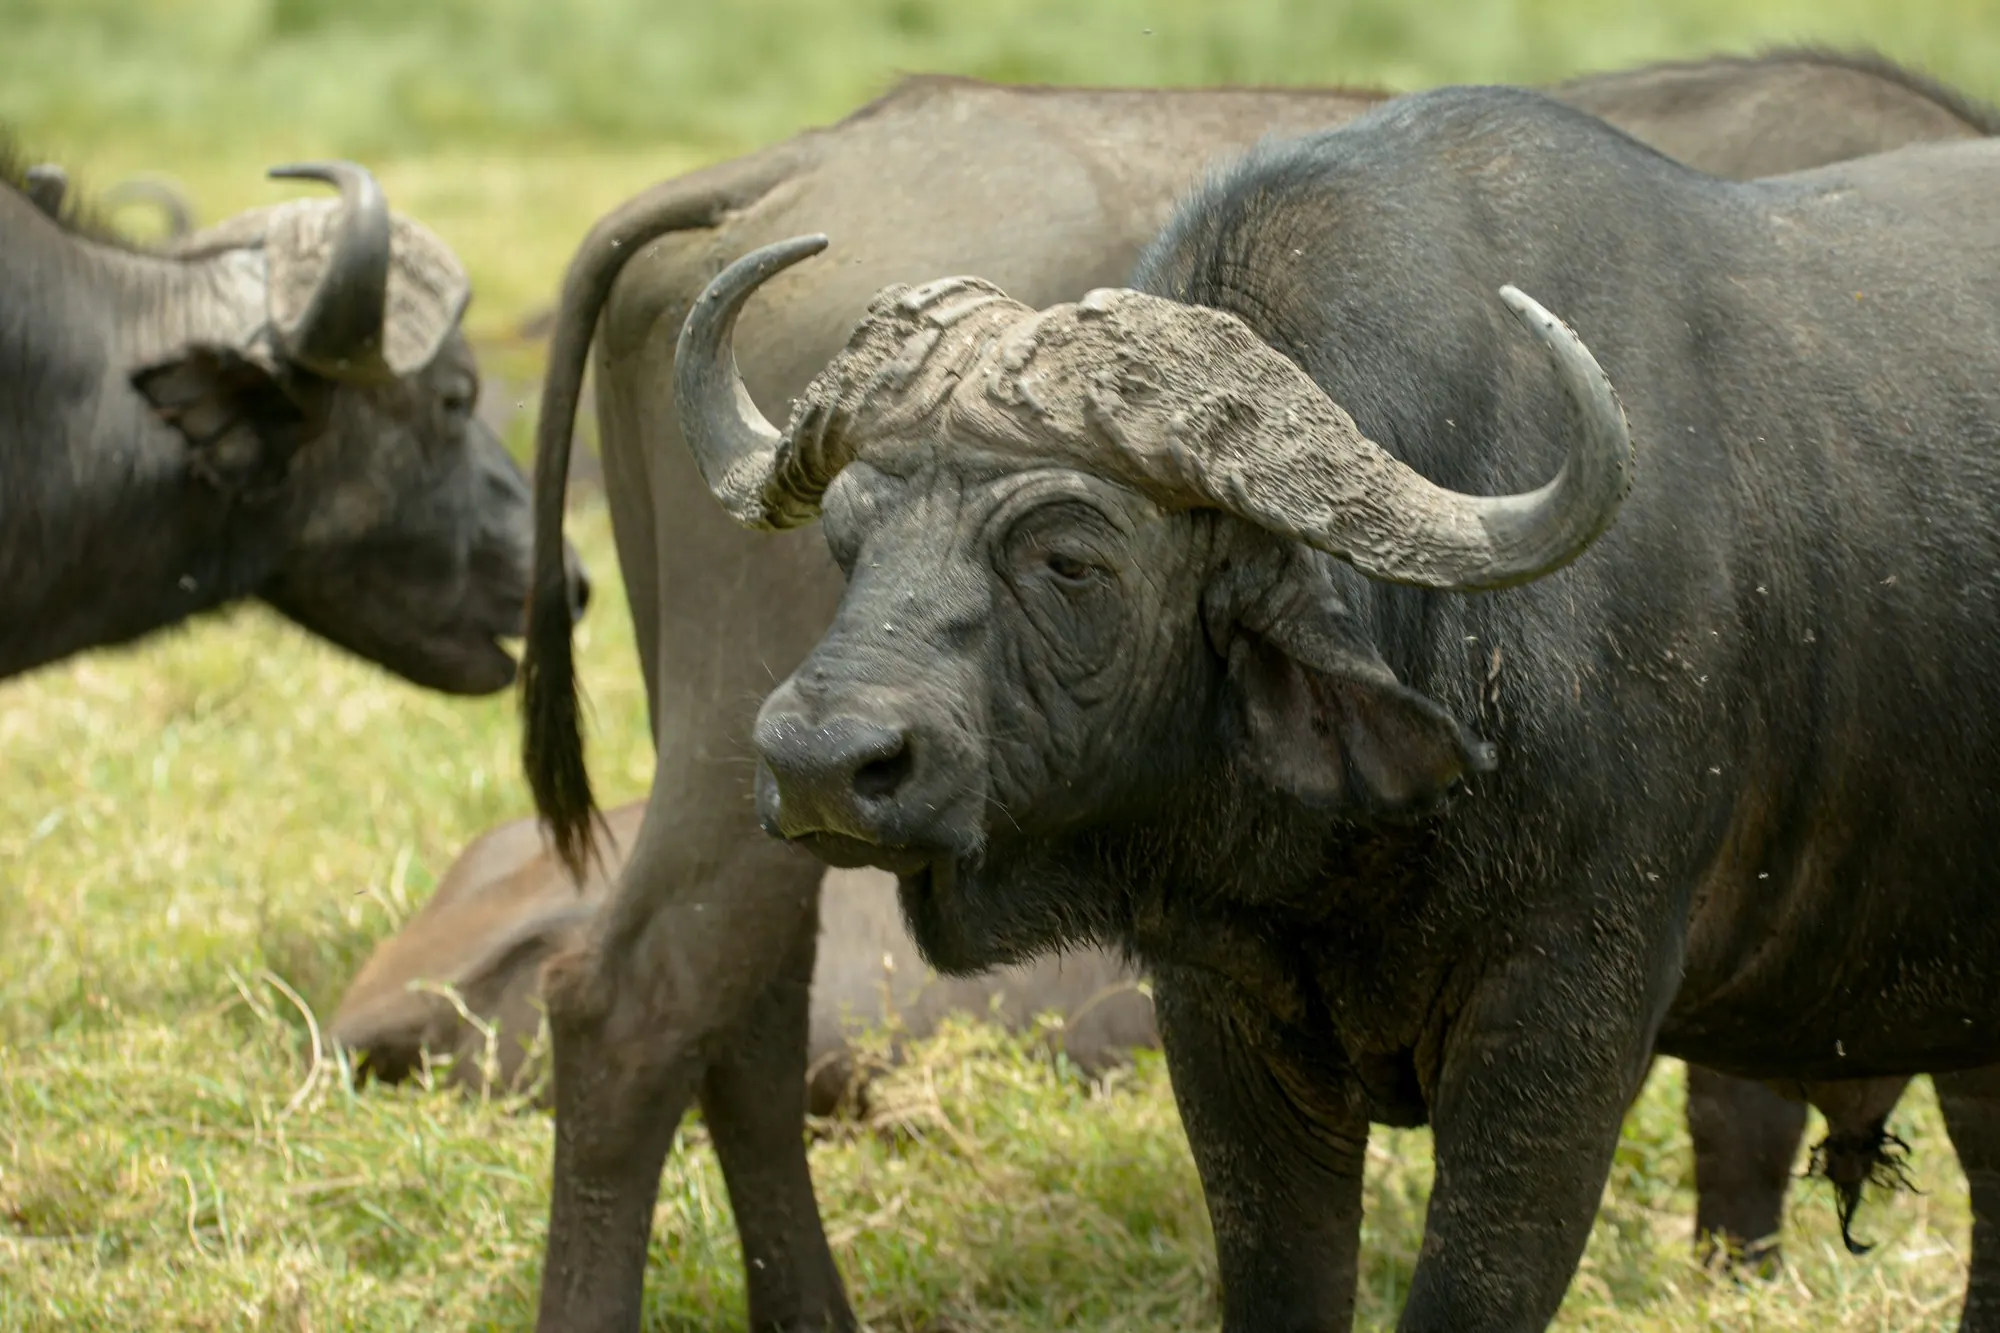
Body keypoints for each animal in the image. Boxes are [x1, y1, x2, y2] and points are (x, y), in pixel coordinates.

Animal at [516, 51, 1998, 1332]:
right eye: (847, 537)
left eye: (1071, 555)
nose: (826, 756)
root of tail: (777, 169)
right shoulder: (1222, 1010)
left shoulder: (1567, 1009)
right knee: (638, 1007)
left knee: (735, 1019)